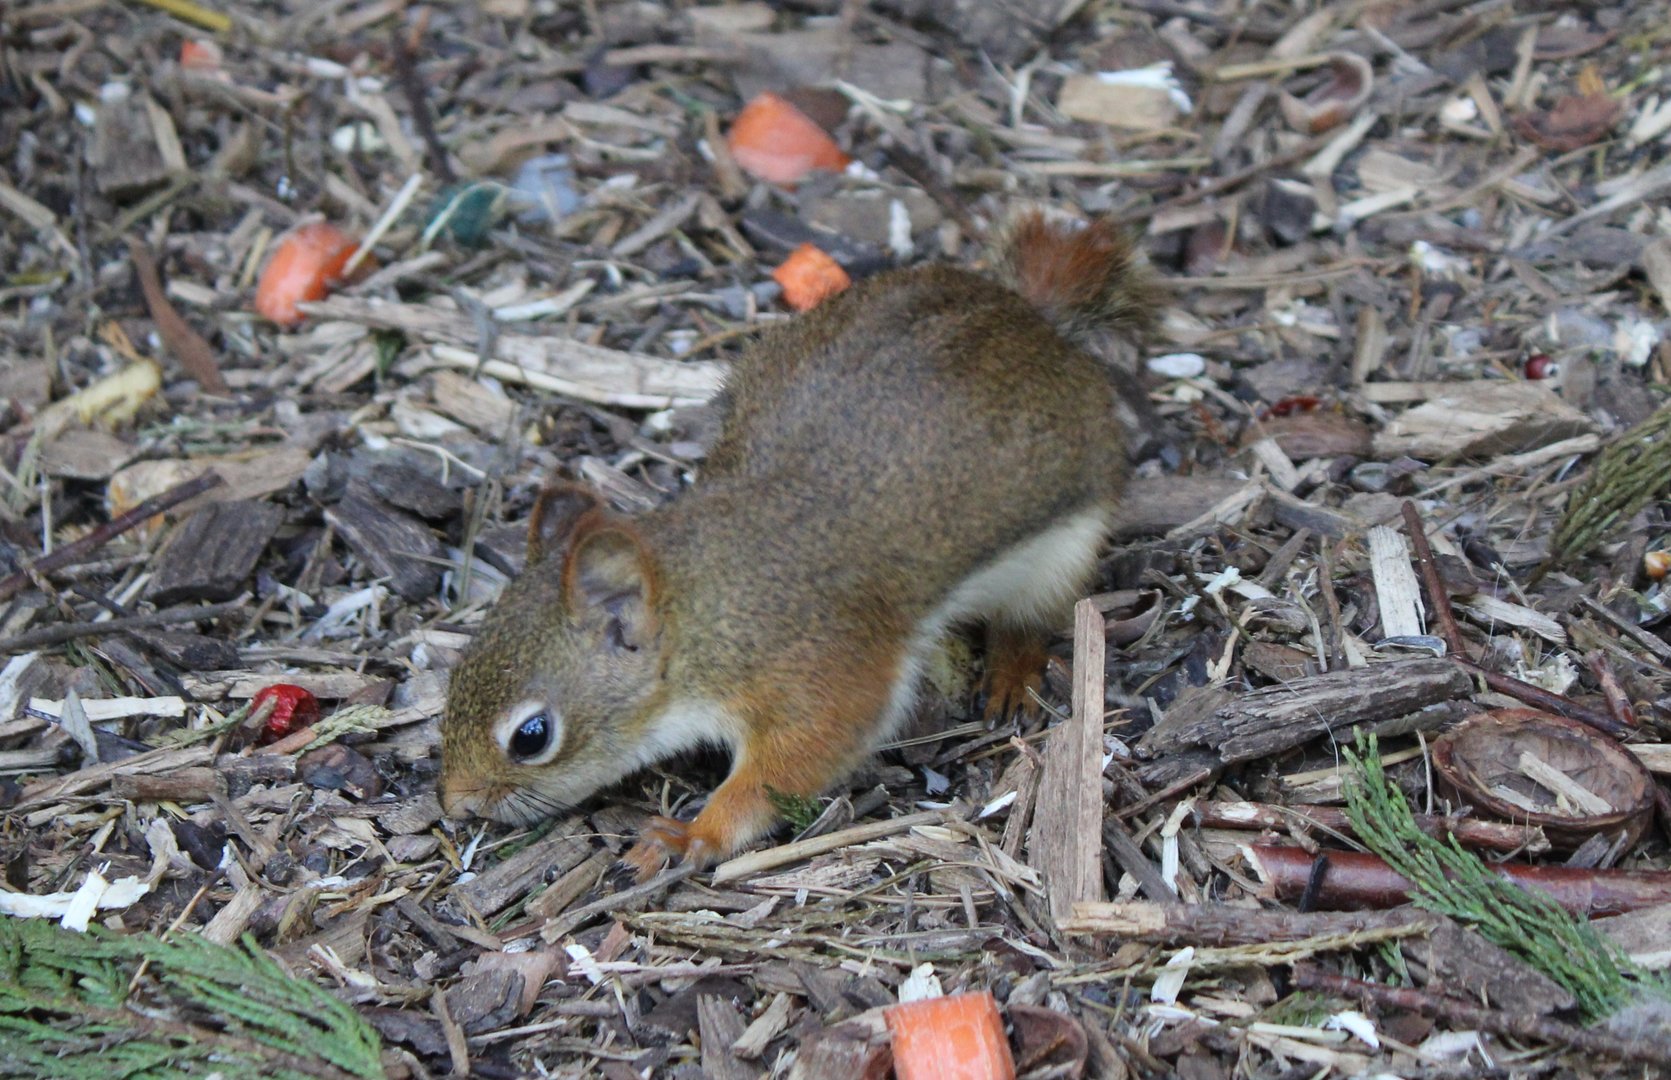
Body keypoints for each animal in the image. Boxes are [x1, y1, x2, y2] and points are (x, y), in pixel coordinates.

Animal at [438, 212, 1156, 879]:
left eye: (531, 736)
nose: (457, 803)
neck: (706, 612)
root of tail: (1031, 318)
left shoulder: (817, 673)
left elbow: (787, 766)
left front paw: (691, 835)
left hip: (1063, 545)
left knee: (1032, 618)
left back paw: (1011, 672)